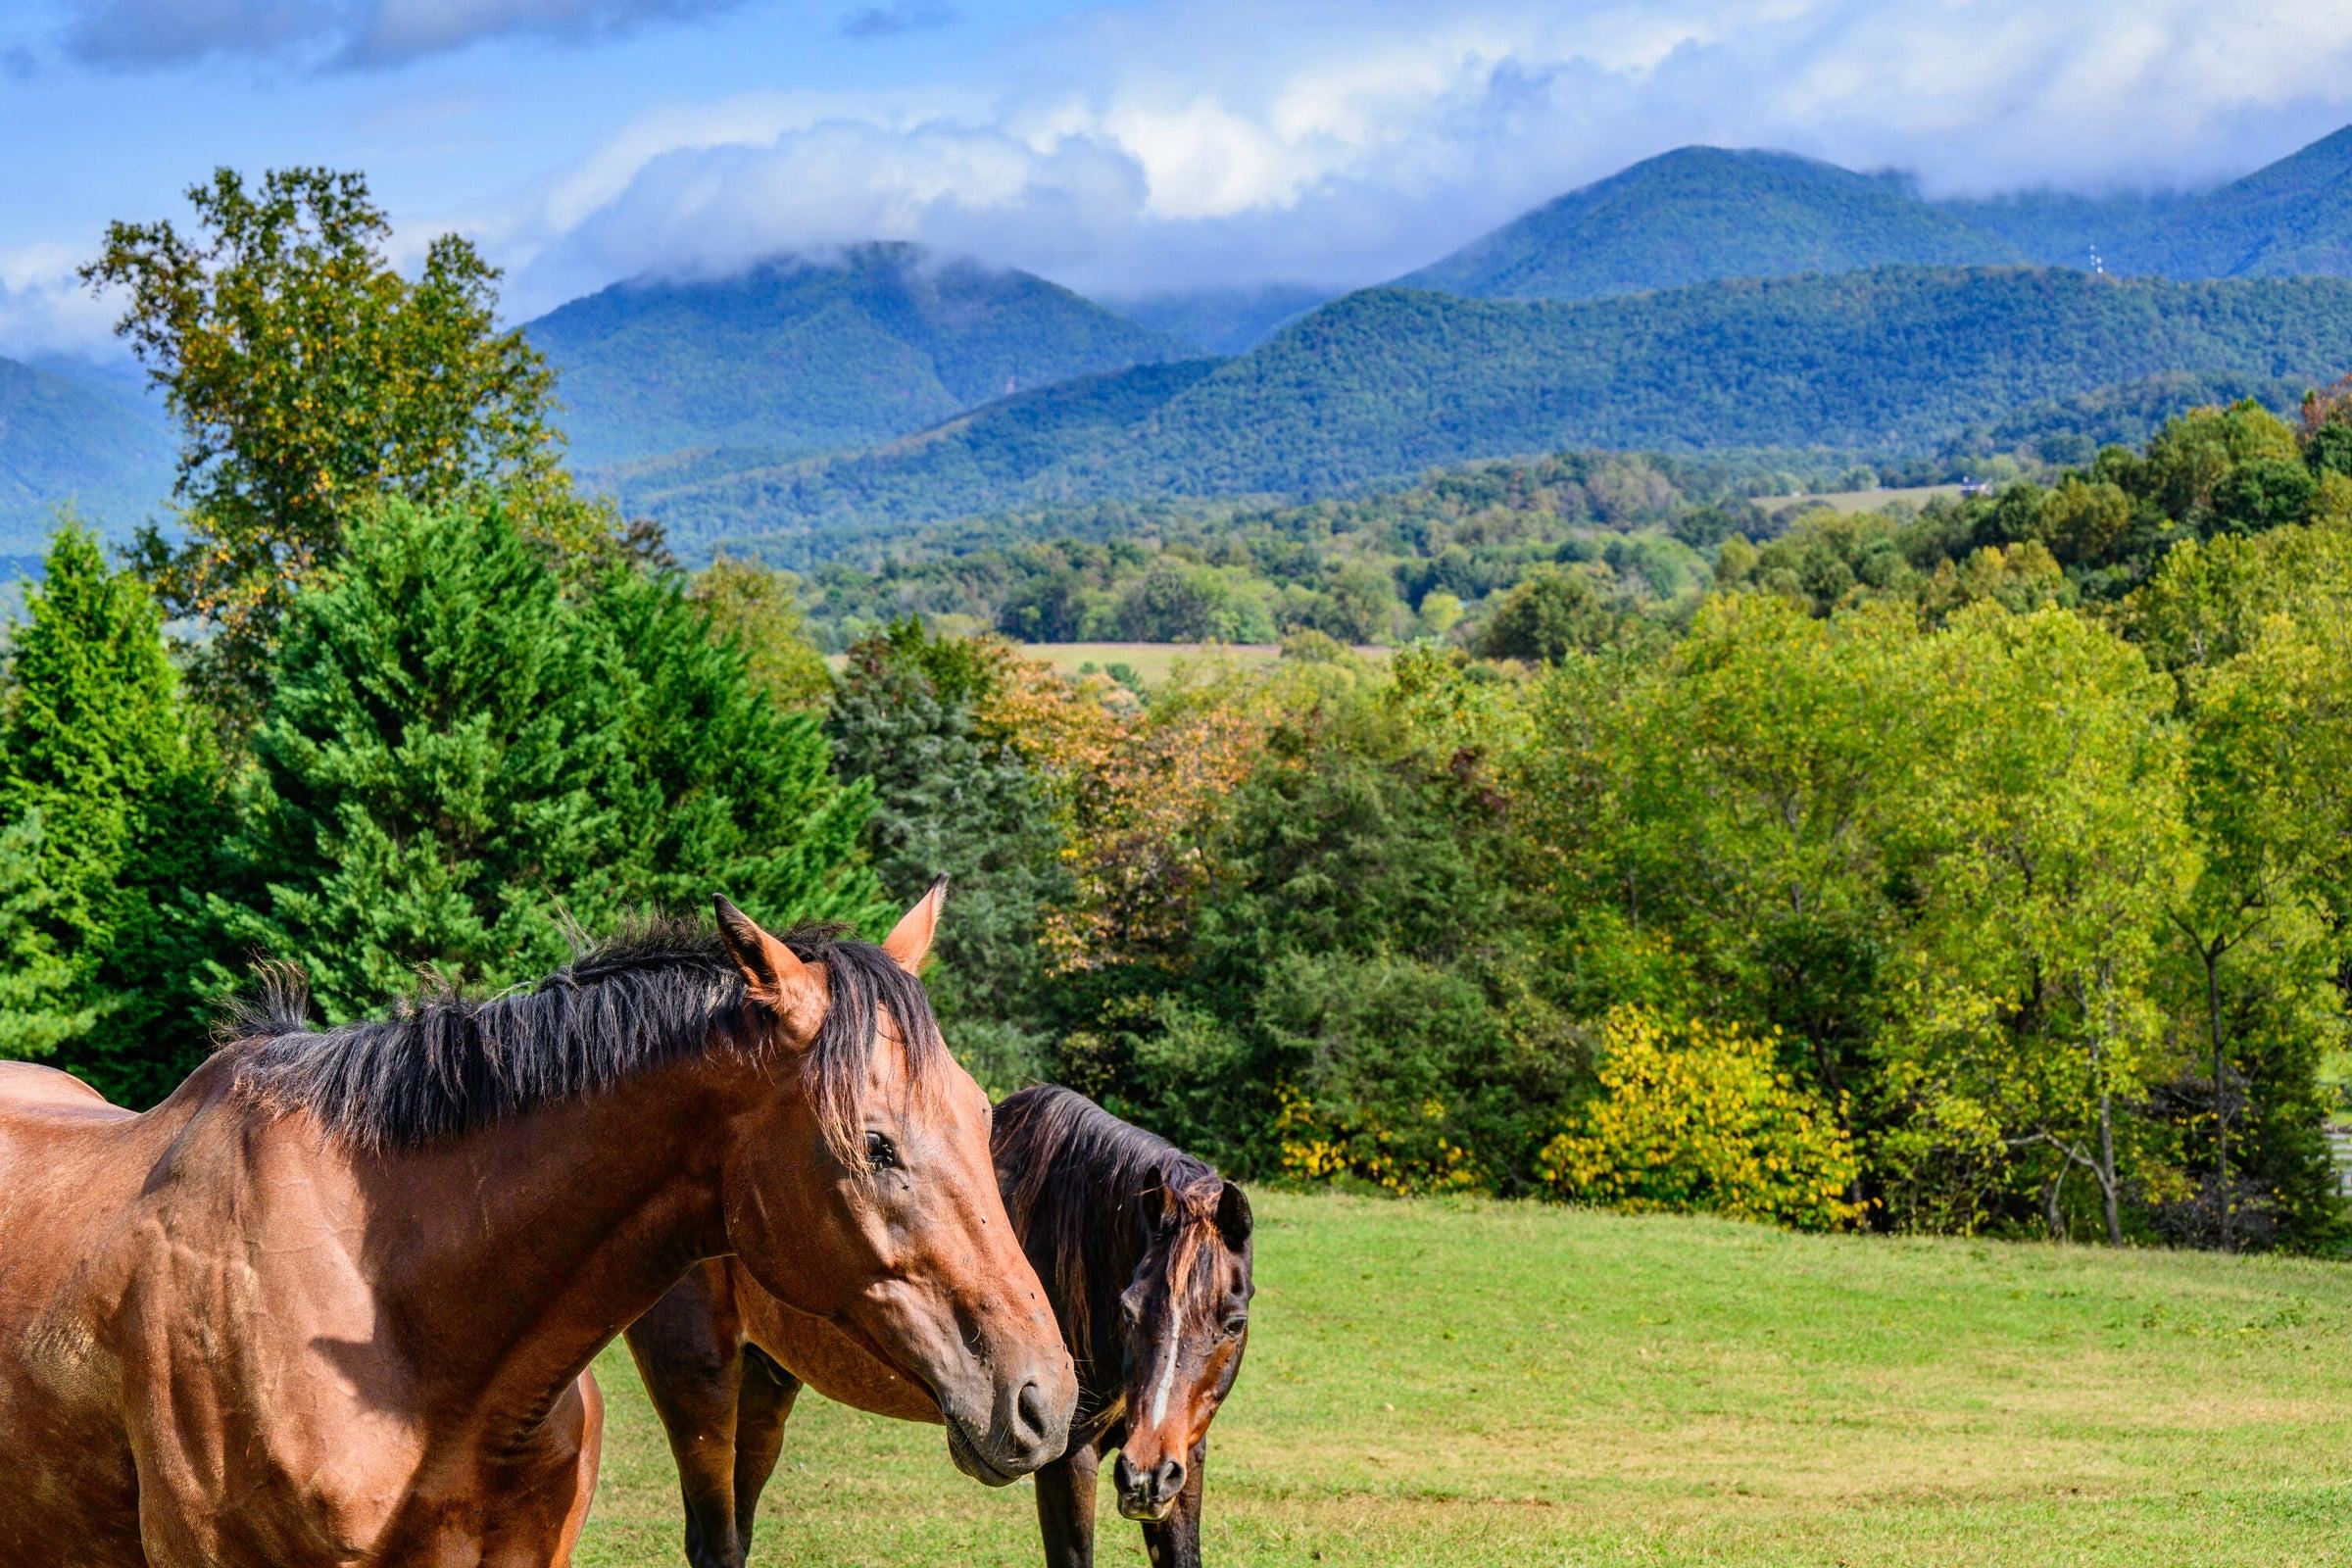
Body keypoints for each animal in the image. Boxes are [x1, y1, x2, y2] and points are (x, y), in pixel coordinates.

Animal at [625, 1086, 1250, 1568]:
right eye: (1127, 1310)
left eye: (1233, 1322)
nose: (1145, 1477)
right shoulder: (1068, 1460)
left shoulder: (1186, 1455)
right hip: (697, 1389)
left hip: (766, 1384)